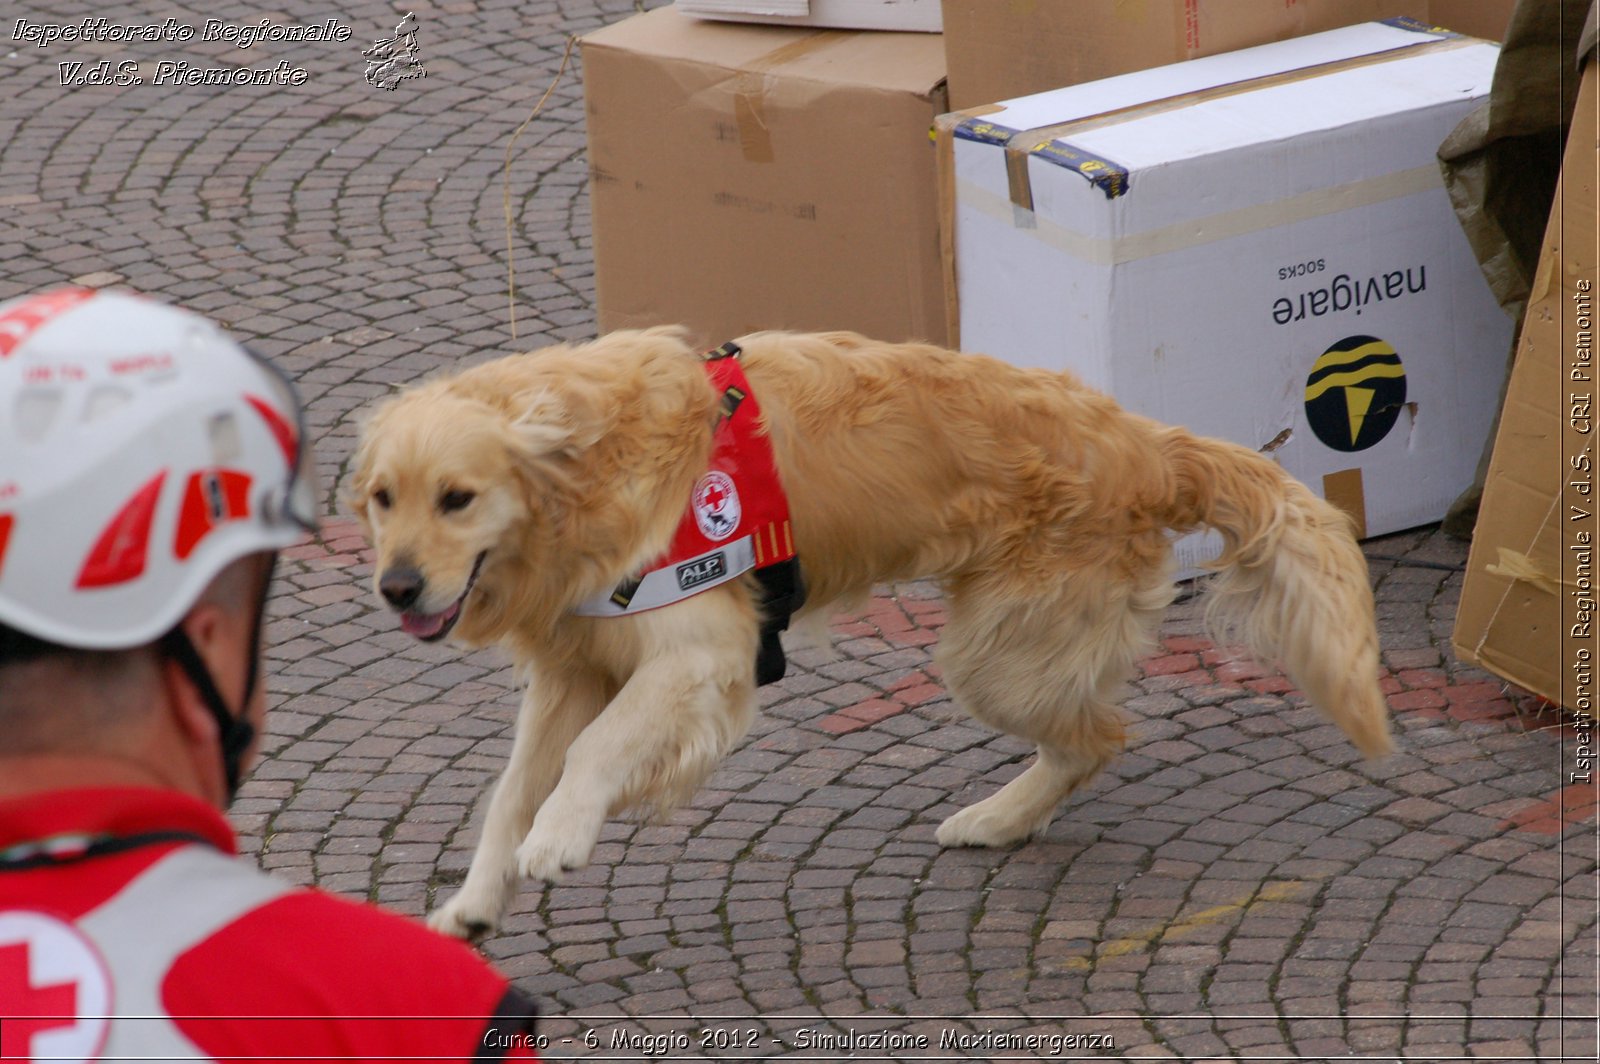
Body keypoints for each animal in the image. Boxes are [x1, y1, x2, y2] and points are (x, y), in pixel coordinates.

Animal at [347, 328, 1388, 934]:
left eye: (457, 497)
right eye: (383, 498)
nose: (397, 588)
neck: (585, 472)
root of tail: (1148, 442)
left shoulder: (700, 655)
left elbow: (596, 752)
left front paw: (562, 836)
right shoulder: (572, 668)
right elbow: (511, 791)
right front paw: (475, 902)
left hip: (991, 655)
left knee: (1097, 735)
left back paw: (997, 816)